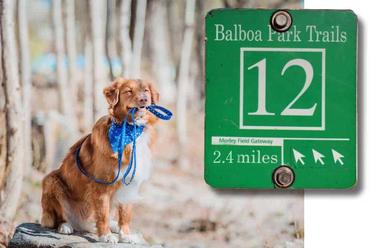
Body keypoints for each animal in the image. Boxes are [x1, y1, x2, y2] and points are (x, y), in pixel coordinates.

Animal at [41, 77, 160, 242]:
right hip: (51, 180)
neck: (129, 131)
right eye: (129, 91)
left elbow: (125, 213)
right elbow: (103, 213)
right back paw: (65, 226)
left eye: (146, 90)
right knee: (59, 216)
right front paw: (106, 236)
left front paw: (125, 234)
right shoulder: (101, 185)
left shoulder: (130, 182)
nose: (144, 99)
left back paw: (113, 225)